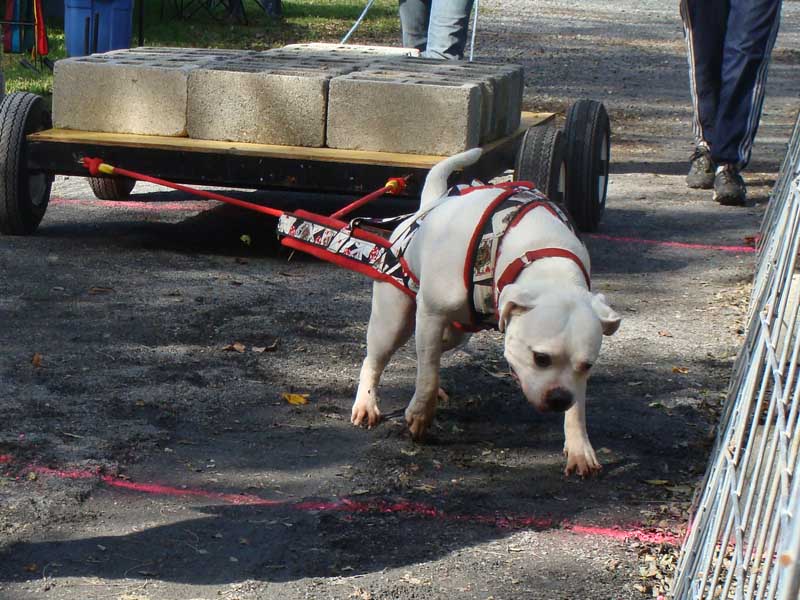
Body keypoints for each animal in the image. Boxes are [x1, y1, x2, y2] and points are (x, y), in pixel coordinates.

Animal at [348, 148, 620, 476]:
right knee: (377, 359)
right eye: (540, 358)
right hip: (393, 321)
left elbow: (578, 409)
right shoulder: (431, 312)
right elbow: (427, 378)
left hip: (456, 332)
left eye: (588, 365)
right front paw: (421, 415)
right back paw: (367, 404)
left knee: (432, 350)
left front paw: (580, 448)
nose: (559, 398)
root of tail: (427, 207)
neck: (541, 254)